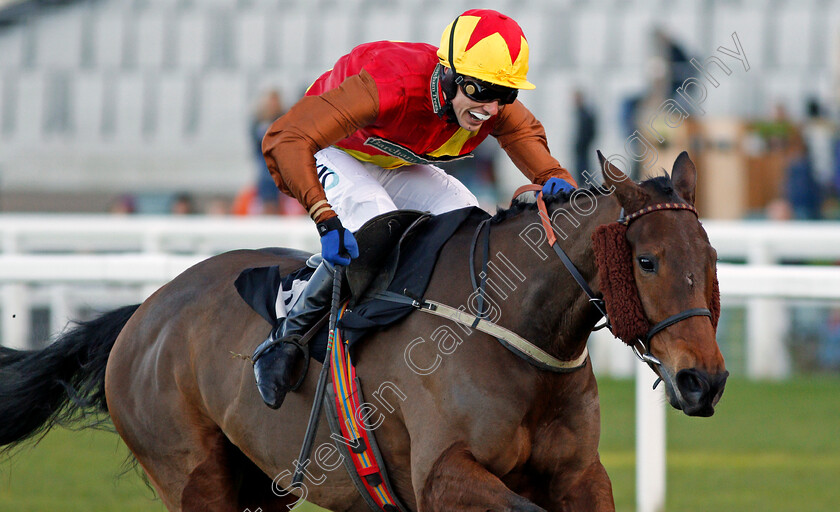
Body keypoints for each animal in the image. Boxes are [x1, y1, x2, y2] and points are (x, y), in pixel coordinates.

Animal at [0, 150, 728, 510]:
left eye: (712, 256)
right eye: (647, 260)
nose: (705, 381)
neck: (509, 332)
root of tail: (142, 314)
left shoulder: (580, 474)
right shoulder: (441, 477)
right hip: (190, 474)